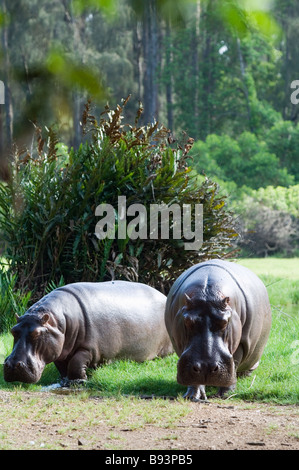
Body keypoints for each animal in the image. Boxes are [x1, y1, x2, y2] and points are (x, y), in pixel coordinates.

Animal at [3, 280, 173, 384]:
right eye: (13, 331)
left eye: (37, 333)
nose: (12, 365)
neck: (60, 322)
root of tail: (164, 296)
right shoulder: (60, 349)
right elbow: (63, 367)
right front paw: (64, 380)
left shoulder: (90, 348)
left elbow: (75, 363)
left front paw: (79, 381)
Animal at [165, 260, 274, 400]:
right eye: (187, 321)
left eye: (225, 322)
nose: (205, 367)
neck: (207, 293)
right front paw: (192, 396)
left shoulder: (240, 343)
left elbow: (235, 361)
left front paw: (225, 394)